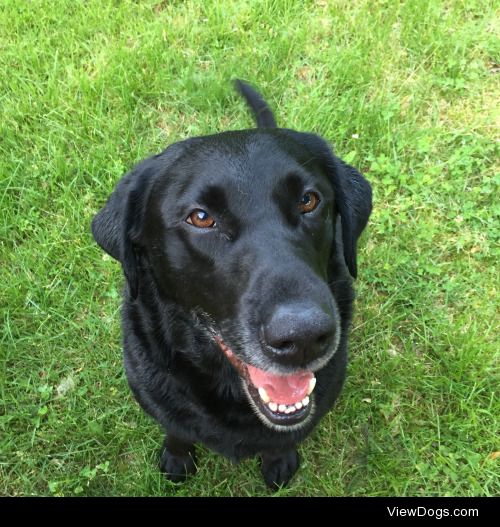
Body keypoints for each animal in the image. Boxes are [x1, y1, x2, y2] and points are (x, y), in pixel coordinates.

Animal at [91, 80, 372, 488]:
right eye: (201, 218)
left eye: (308, 200)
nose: (303, 337)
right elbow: (178, 430)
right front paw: (177, 459)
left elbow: (283, 439)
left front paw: (279, 460)